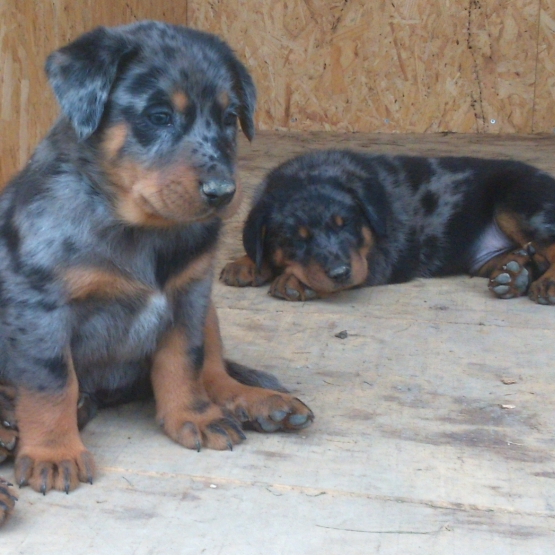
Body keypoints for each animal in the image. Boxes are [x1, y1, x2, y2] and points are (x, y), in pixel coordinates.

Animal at [0, 21, 314, 510]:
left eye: (230, 118)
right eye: (159, 116)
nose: (223, 192)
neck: (142, 230)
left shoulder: (189, 294)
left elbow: (184, 361)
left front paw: (195, 417)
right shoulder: (40, 304)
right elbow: (52, 382)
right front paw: (54, 453)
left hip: (210, 309)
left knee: (214, 367)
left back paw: (258, 402)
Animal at [222, 150, 555, 302]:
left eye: (346, 225)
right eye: (296, 239)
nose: (340, 273)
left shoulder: (375, 260)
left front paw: (293, 280)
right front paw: (245, 263)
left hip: (518, 203)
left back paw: (544, 282)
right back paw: (515, 275)